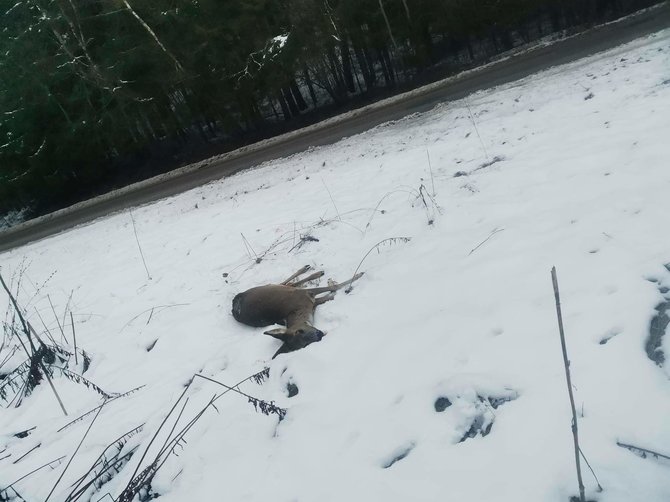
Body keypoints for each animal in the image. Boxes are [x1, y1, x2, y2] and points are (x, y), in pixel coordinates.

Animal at [234, 264, 364, 358]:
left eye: (299, 331)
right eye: (305, 345)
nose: (319, 334)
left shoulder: (304, 294)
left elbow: (334, 288)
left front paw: (358, 275)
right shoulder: (311, 301)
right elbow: (332, 294)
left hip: (269, 287)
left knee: (286, 283)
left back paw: (311, 270)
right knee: (291, 284)